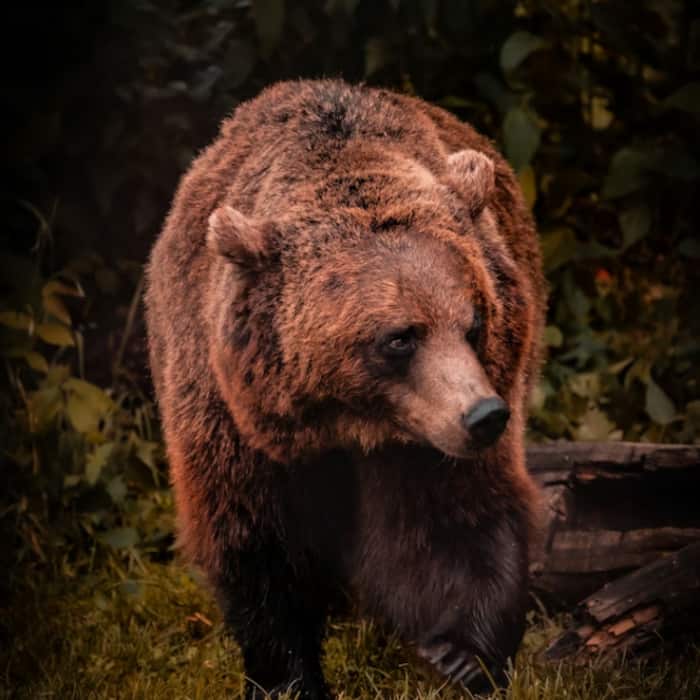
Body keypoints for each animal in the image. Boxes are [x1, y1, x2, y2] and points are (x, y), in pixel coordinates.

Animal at [144, 79, 546, 698]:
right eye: (400, 337)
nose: (484, 415)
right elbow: (256, 545)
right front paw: (287, 676)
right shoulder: (231, 419)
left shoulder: (430, 437)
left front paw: (459, 654)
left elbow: (457, 518)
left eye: (474, 321)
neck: (348, 423)